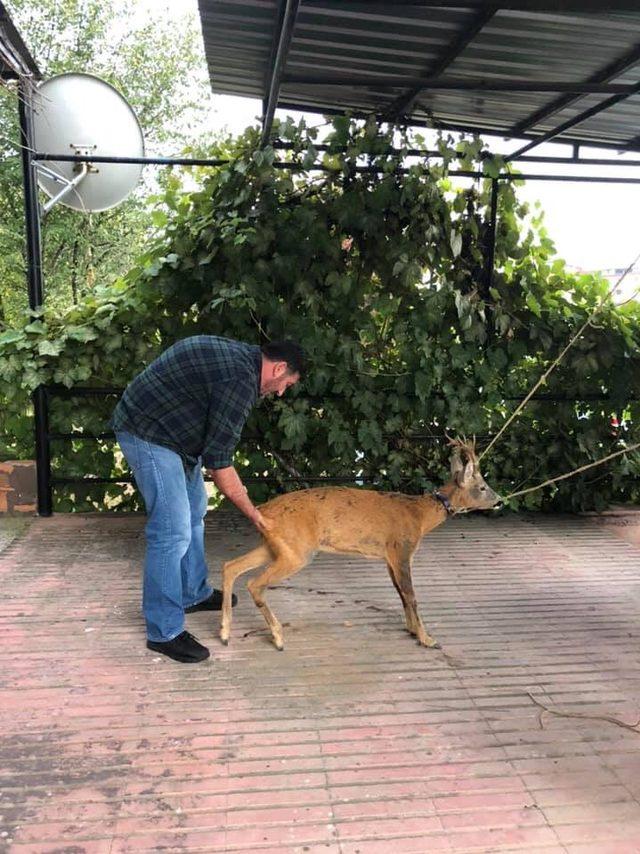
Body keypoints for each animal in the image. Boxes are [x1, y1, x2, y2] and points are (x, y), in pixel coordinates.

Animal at [220, 438, 500, 652]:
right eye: (482, 487)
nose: (499, 500)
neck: (420, 517)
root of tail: (263, 512)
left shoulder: (389, 557)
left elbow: (400, 593)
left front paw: (411, 630)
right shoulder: (401, 548)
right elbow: (411, 594)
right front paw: (427, 638)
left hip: (276, 546)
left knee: (230, 566)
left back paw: (224, 633)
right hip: (297, 551)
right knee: (254, 583)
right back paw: (277, 638)